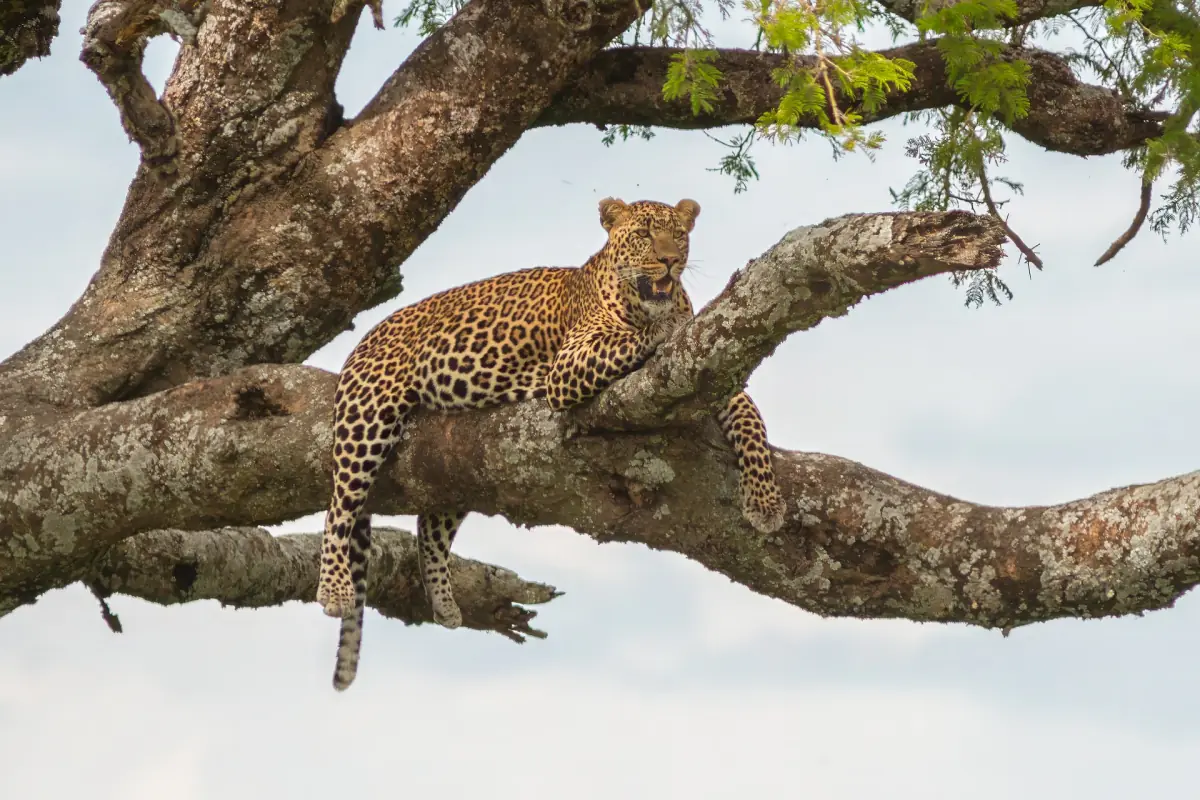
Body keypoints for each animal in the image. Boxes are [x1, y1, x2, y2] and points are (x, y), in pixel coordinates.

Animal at [317, 197, 787, 690]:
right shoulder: (568, 365)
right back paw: (333, 588)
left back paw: (443, 601)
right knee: (339, 506)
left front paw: (765, 501)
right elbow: (629, 341)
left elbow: (752, 421)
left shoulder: (711, 370)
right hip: (368, 415)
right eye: (643, 234)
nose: (669, 261)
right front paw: (659, 331)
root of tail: (368, 336)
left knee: (431, 523)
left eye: (679, 234)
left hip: (455, 466)